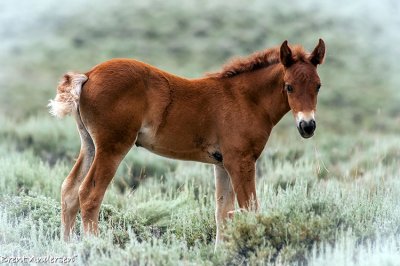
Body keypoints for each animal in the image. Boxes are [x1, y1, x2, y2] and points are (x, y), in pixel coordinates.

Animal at [49, 38, 324, 244]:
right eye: (288, 86)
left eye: (318, 86)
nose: (308, 126)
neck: (245, 99)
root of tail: (88, 75)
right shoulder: (241, 162)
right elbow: (249, 209)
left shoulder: (222, 164)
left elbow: (222, 214)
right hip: (112, 147)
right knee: (89, 195)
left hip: (90, 145)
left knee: (69, 190)